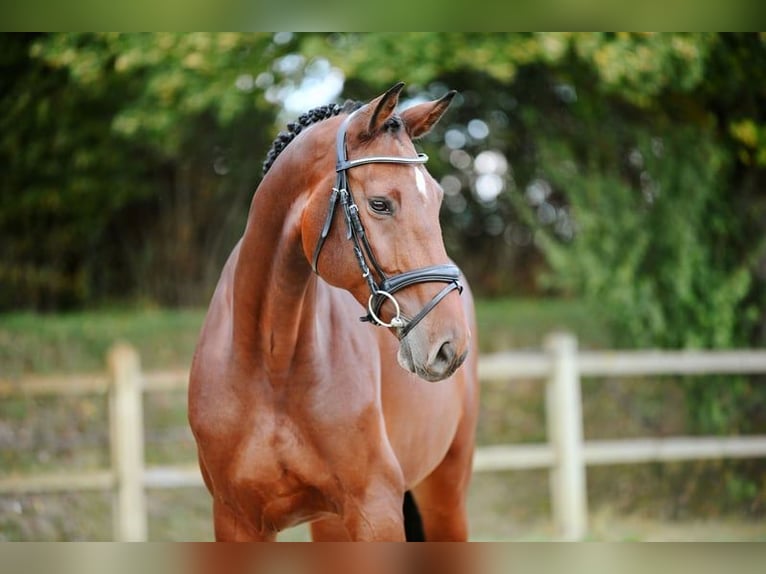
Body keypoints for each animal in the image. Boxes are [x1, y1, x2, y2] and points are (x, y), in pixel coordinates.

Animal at [188, 82, 479, 541]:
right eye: (379, 204)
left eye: (435, 200)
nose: (449, 345)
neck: (271, 364)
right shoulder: (236, 520)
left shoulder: (376, 510)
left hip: (445, 494)